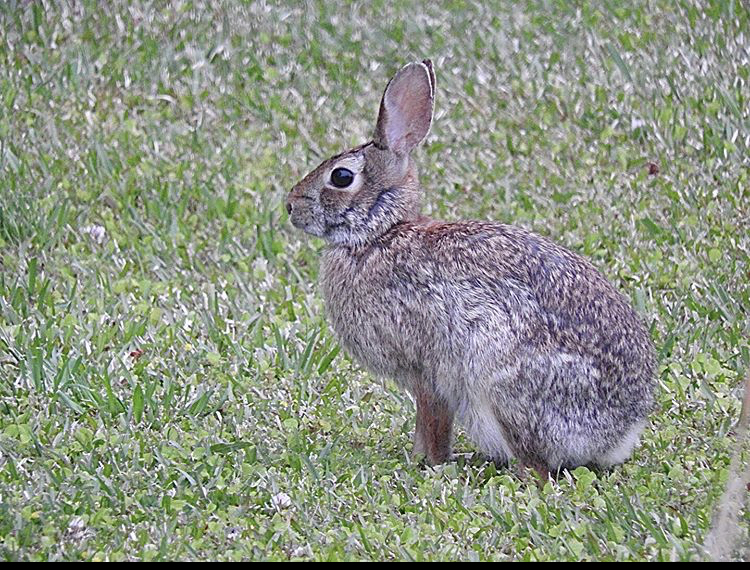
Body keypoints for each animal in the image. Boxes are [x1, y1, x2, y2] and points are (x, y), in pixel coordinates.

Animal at [288, 58, 656, 474]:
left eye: (341, 177)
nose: (290, 205)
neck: (379, 235)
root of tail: (621, 432)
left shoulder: (427, 370)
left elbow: (432, 421)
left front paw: (427, 463)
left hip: (501, 383)